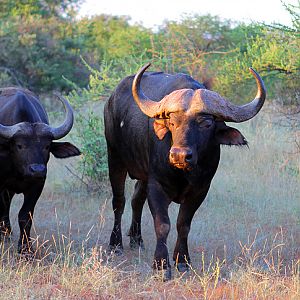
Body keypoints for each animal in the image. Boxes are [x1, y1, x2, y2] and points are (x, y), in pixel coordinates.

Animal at [0, 87, 81, 255]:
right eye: (19, 145)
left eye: (46, 146)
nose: (37, 170)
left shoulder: (37, 185)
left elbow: (25, 215)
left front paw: (25, 249)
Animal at [104, 63, 266, 278]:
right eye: (172, 122)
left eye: (206, 124)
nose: (179, 155)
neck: (183, 173)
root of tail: (111, 100)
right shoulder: (157, 186)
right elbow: (163, 224)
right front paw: (161, 265)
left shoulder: (200, 190)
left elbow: (183, 224)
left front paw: (182, 260)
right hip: (114, 159)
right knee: (119, 202)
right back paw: (116, 244)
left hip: (142, 176)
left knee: (136, 200)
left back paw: (136, 240)